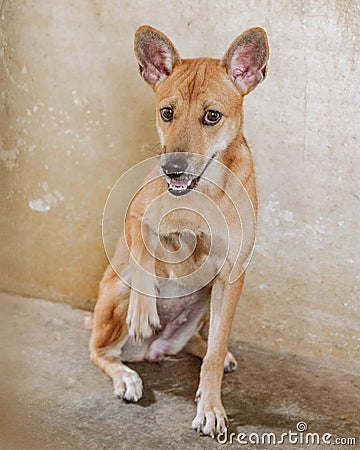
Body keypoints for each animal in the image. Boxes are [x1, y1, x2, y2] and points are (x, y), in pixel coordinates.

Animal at [89, 26, 268, 438]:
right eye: (167, 112)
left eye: (212, 116)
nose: (171, 169)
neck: (203, 191)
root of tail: (151, 351)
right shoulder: (135, 214)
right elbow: (145, 242)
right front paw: (143, 312)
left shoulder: (232, 276)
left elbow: (215, 352)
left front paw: (211, 407)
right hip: (115, 293)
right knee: (99, 352)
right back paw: (126, 374)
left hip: (206, 302)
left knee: (202, 343)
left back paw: (207, 351)